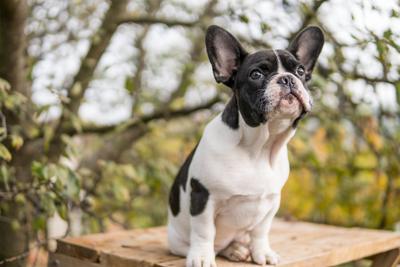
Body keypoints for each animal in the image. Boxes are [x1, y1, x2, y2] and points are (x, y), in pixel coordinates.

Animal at [167, 25, 324, 267]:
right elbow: (204, 231)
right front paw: (202, 257)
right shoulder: (203, 196)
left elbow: (261, 232)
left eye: (299, 71)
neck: (259, 148)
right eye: (256, 74)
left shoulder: (271, 202)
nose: (287, 79)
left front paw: (263, 253)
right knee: (210, 244)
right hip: (177, 240)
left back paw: (237, 249)